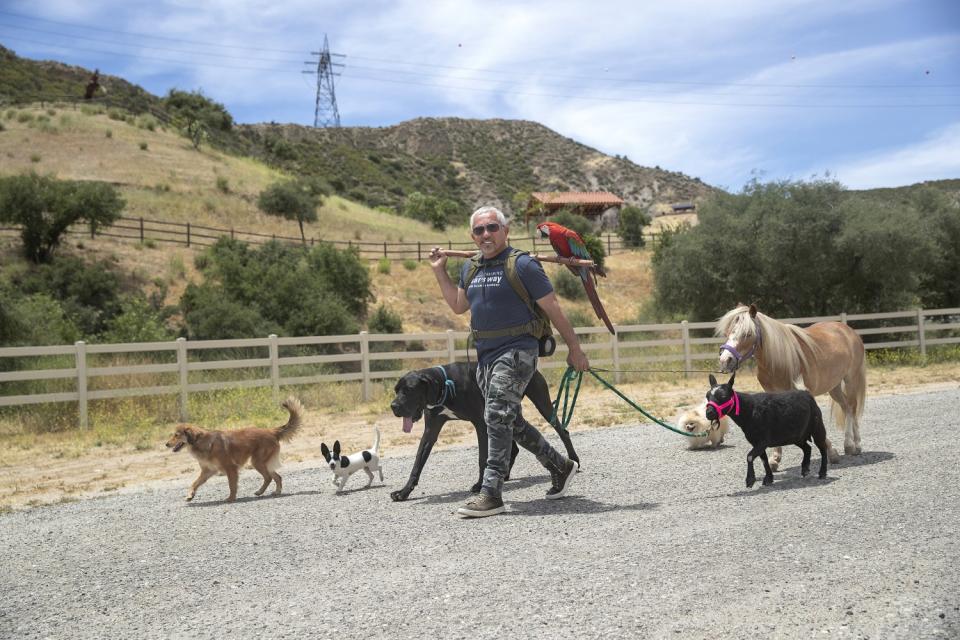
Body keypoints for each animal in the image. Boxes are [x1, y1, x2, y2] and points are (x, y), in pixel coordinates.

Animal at [163, 396, 302, 504]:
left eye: (177, 435)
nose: (166, 444)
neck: (200, 442)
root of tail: (272, 431)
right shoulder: (207, 471)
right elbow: (194, 483)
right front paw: (190, 495)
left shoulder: (230, 468)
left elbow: (232, 485)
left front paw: (231, 498)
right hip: (263, 463)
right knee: (277, 477)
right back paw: (273, 491)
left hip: (258, 461)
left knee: (269, 477)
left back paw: (262, 491)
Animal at [388, 362, 576, 502]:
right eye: (396, 390)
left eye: (408, 390)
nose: (393, 406)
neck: (444, 386)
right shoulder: (430, 431)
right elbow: (417, 463)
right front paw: (403, 492)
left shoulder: (480, 423)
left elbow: (482, 458)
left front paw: (479, 485)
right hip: (509, 415)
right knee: (514, 446)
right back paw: (505, 475)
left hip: (541, 404)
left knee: (563, 431)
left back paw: (574, 460)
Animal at [700, 372, 828, 488]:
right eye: (707, 396)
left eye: (723, 397)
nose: (709, 413)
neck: (750, 410)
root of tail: (806, 393)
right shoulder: (757, 442)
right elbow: (764, 460)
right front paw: (768, 479)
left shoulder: (763, 441)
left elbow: (750, 456)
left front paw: (750, 480)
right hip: (796, 436)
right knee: (807, 448)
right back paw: (805, 469)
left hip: (817, 427)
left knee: (822, 447)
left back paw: (822, 473)